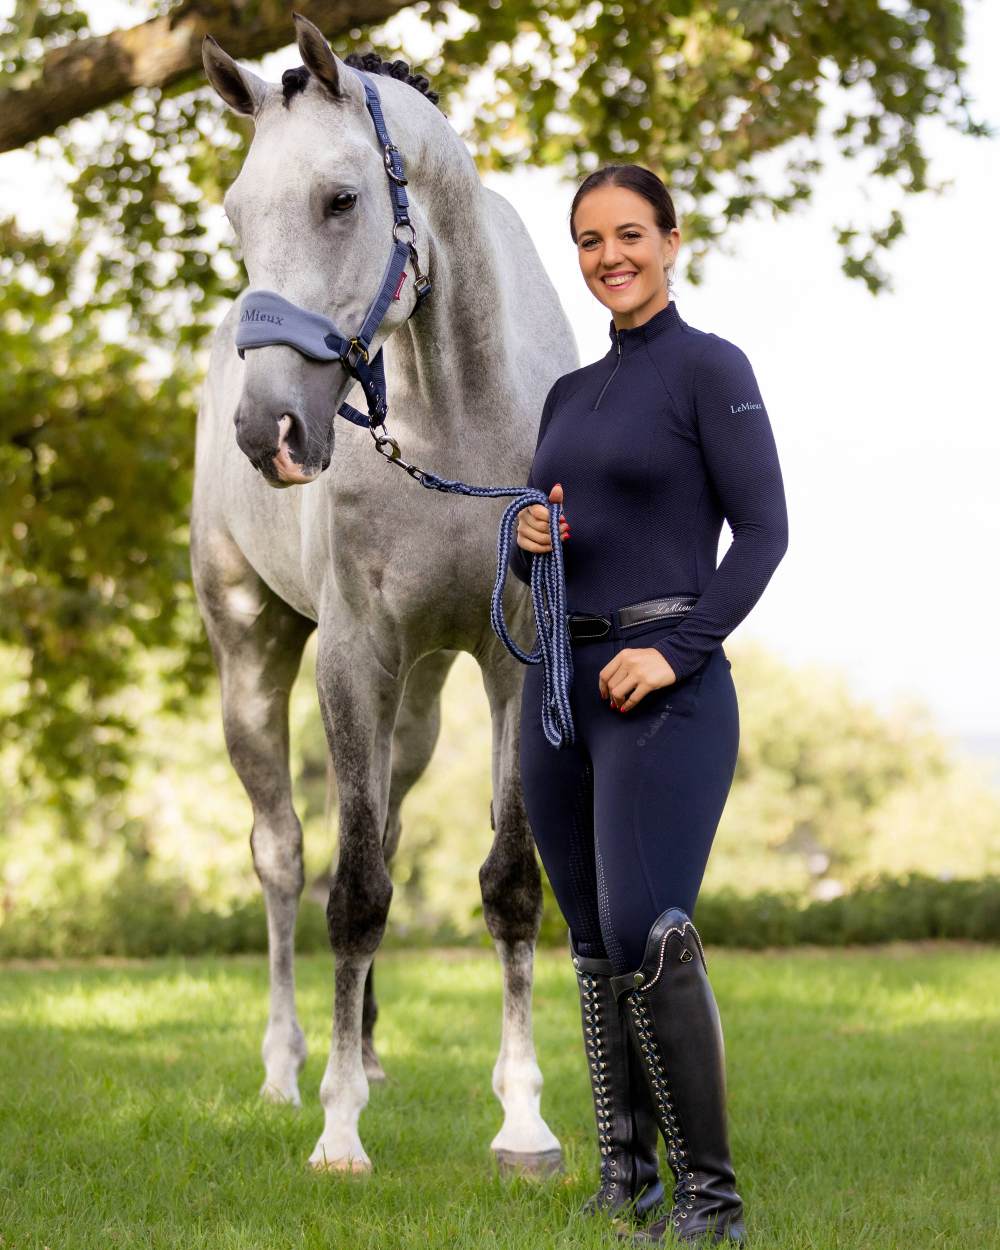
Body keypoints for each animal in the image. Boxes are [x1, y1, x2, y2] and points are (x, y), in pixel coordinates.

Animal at [191, 12, 577, 1180]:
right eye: (236, 212)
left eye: (341, 198)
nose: (268, 430)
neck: (451, 415)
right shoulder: (352, 655)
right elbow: (351, 894)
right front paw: (339, 1128)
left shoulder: (516, 659)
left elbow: (507, 882)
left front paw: (524, 1121)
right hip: (253, 659)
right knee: (284, 857)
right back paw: (290, 1069)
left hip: (421, 702)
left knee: (390, 833)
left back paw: (365, 1049)